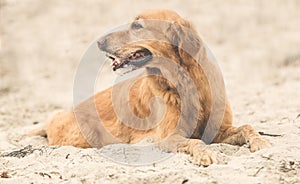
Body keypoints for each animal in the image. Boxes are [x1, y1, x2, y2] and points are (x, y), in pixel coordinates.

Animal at [31, 9, 270, 166]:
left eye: (137, 26)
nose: (99, 42)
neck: (184, 83)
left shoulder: (217, 129)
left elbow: (248, 127)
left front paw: (261, 143)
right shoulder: (170, 137)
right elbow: (196, 142)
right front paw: (206, 154)